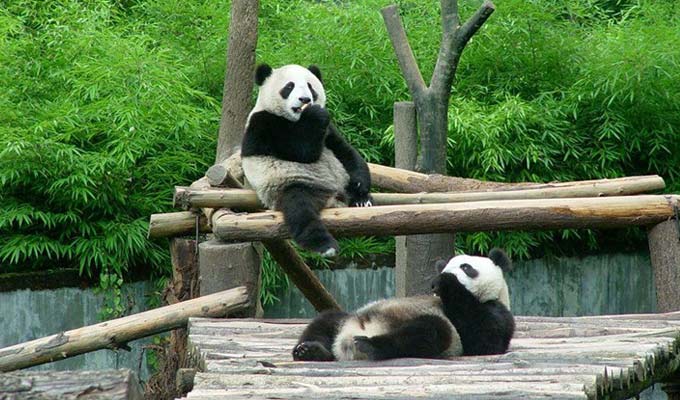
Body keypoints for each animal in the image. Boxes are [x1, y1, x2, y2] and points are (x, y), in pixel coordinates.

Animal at [240, 62, 372, 256]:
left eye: (310, 87)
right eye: (289, 87)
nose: (305, 100)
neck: (296, 119)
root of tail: (334, 198)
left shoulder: (329, 131)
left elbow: (346, 152)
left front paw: (360, 186)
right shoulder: (263, 124)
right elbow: (302, 151)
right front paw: (315, 114)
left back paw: (362, 201)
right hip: (292, 185)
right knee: (301, 211)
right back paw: (325, 245)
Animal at [292, 248, 516, 360]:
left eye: (466, 267)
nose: (441, 276)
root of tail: (345, 342)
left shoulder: (493, 311)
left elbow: (482, 340)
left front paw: (446, 283)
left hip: (441, 336)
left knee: (429, 331)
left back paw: (370, 346)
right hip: (347, 318)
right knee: (325, 321)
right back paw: (310, 350)